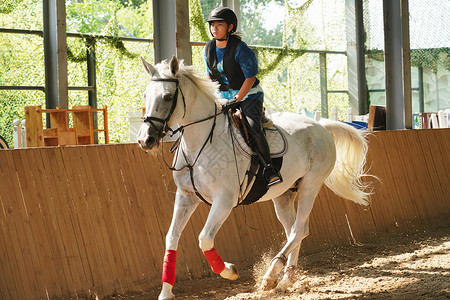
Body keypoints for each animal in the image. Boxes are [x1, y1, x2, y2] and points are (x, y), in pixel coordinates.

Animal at [137, 56, 372, 300]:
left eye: (167, 96)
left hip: (311, 185)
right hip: (284, 195)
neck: (200, 142)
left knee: (299, 230)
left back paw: (271, 275)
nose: (146, 139)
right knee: (295, 231)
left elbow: (204, 238)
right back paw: (286, 280)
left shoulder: (224, 200)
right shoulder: (186, 196)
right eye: (145, 95)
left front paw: (229, 271)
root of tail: (321, 127)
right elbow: (172, 237)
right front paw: (166, 292)